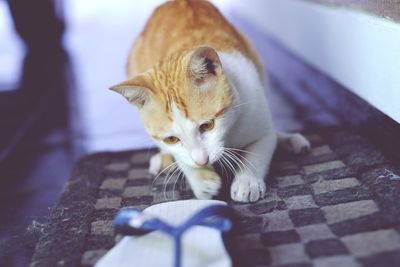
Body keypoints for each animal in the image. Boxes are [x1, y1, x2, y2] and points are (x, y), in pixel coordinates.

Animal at [111, 0, 310, 203]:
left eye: (207, 126)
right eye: (172, 139)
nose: (202, 161)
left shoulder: (259, 117)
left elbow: (257, 152)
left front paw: (247, 180)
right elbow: (183, 158)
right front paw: (201, 179)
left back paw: (288, 140)